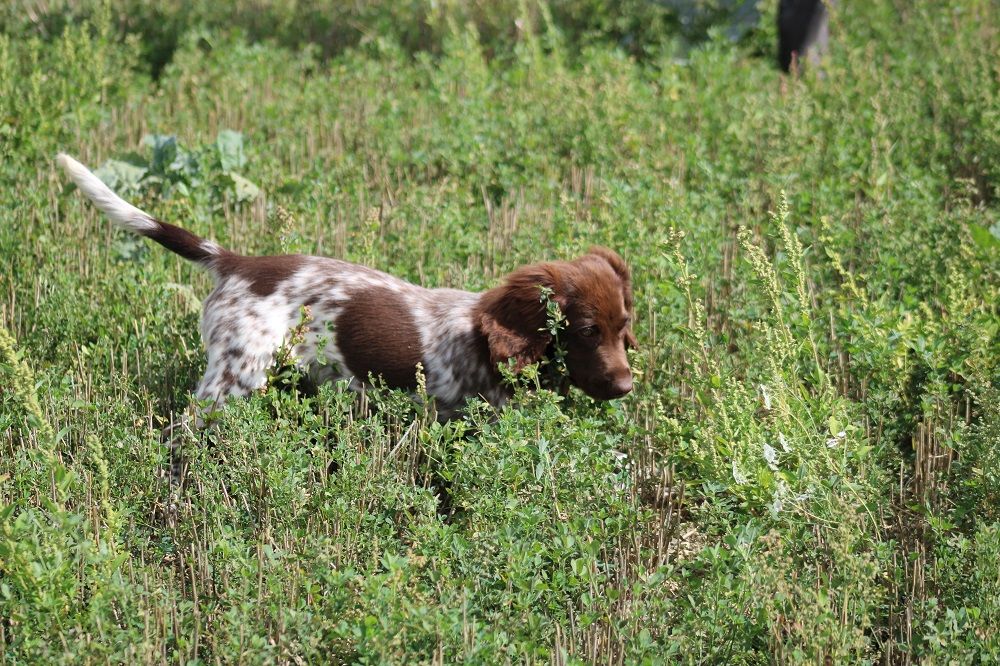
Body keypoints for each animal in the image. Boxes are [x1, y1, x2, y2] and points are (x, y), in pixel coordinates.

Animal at [58, 152, 636, 418]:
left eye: (622, 328)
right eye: (586, 330)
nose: (627, 387)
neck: (483, 340)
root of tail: (239, 262)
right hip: (234, 381)